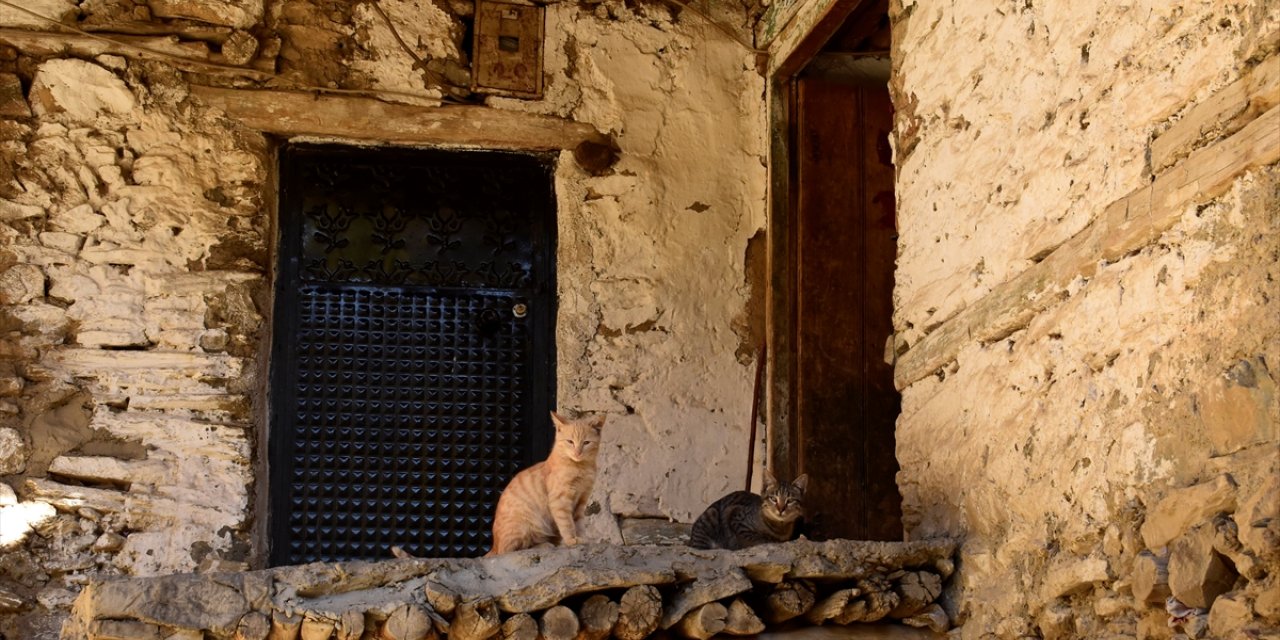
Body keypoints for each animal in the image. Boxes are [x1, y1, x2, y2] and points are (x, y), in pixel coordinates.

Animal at [488, 412, 609, 552]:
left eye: (586, 443)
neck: (581, 467)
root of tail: (495, 545)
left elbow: (578, 523)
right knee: (515, 549)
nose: (577, 452)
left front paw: (581, 538)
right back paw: (544, 545)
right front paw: (571, 539)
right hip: (526, 526)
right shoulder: (560, 500)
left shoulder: (582, 500)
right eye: (570, 441)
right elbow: (567, 523)